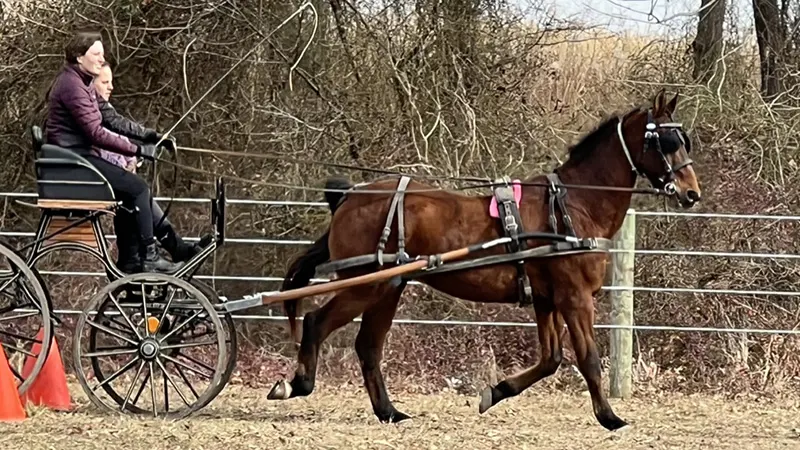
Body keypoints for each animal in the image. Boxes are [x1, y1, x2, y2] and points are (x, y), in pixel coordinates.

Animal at [266, 89, 696, 430]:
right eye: (664, 141)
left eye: (683, 140)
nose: (692, 193)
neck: (572, 205)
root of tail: (351, 197)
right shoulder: (575, 298)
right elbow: (588, 358)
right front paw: (610, 417)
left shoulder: (547, 299)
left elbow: (551, 359)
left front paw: (495, 392)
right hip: (365, 284)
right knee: (316, 322)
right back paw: (295, 384)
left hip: (387, 288)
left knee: (368, 346)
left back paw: (389, 412)